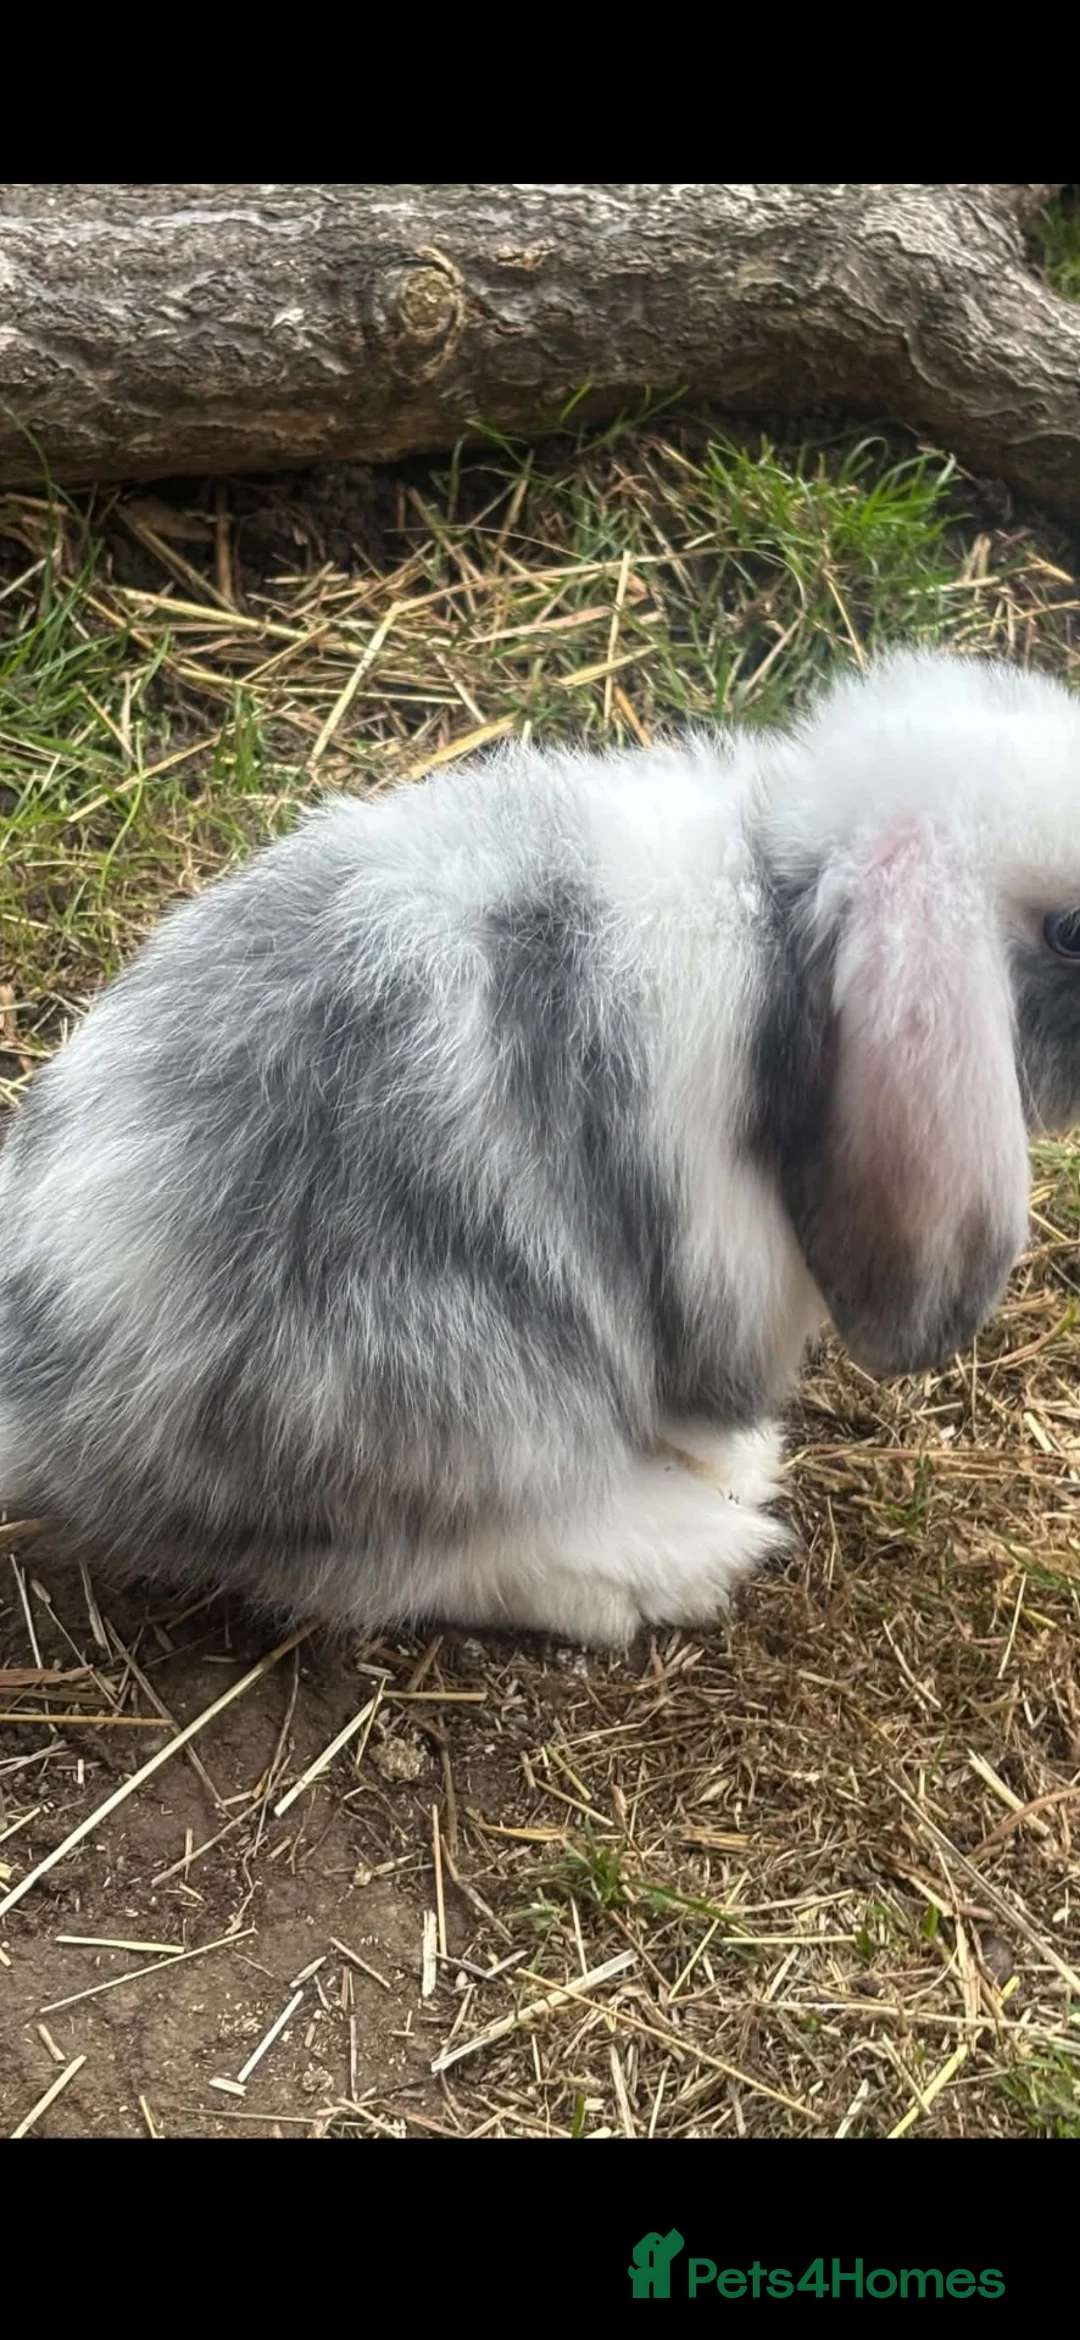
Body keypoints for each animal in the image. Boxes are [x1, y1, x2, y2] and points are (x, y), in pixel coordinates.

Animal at [1, 646, 1079, 1648]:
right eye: (1069, 930)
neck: (777, 926)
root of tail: (51, 1388)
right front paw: (735, 1463)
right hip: (460, 1399)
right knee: (393, 1564)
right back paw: (676, 1550)